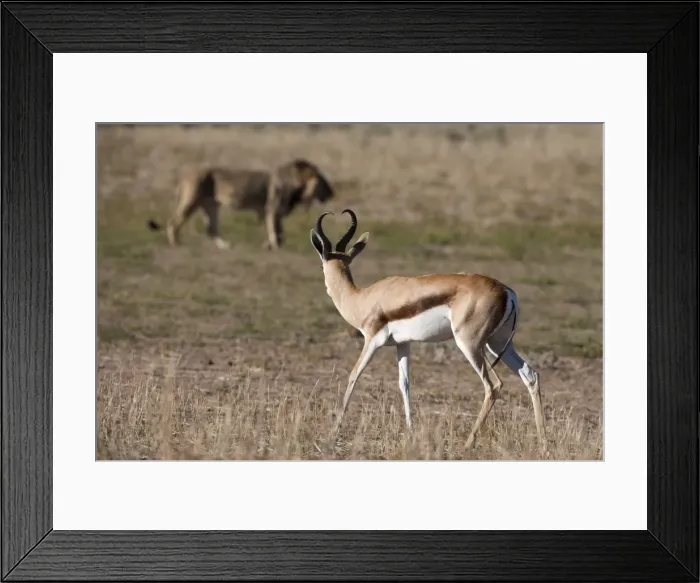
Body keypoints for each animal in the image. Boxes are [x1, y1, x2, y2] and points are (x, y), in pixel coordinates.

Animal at [147, 158, 334, 250]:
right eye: (322, 181)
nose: (332, 192)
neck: (297, 187)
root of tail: (184, 175)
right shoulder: (271, 210)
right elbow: (275, 231)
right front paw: (274, 247)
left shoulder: (276, 213)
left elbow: (280, 233)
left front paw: (269, 246)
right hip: (191, 201)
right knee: (174, 222)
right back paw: (175, 243)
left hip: (211, 205)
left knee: (211, 229)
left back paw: (225, 246)